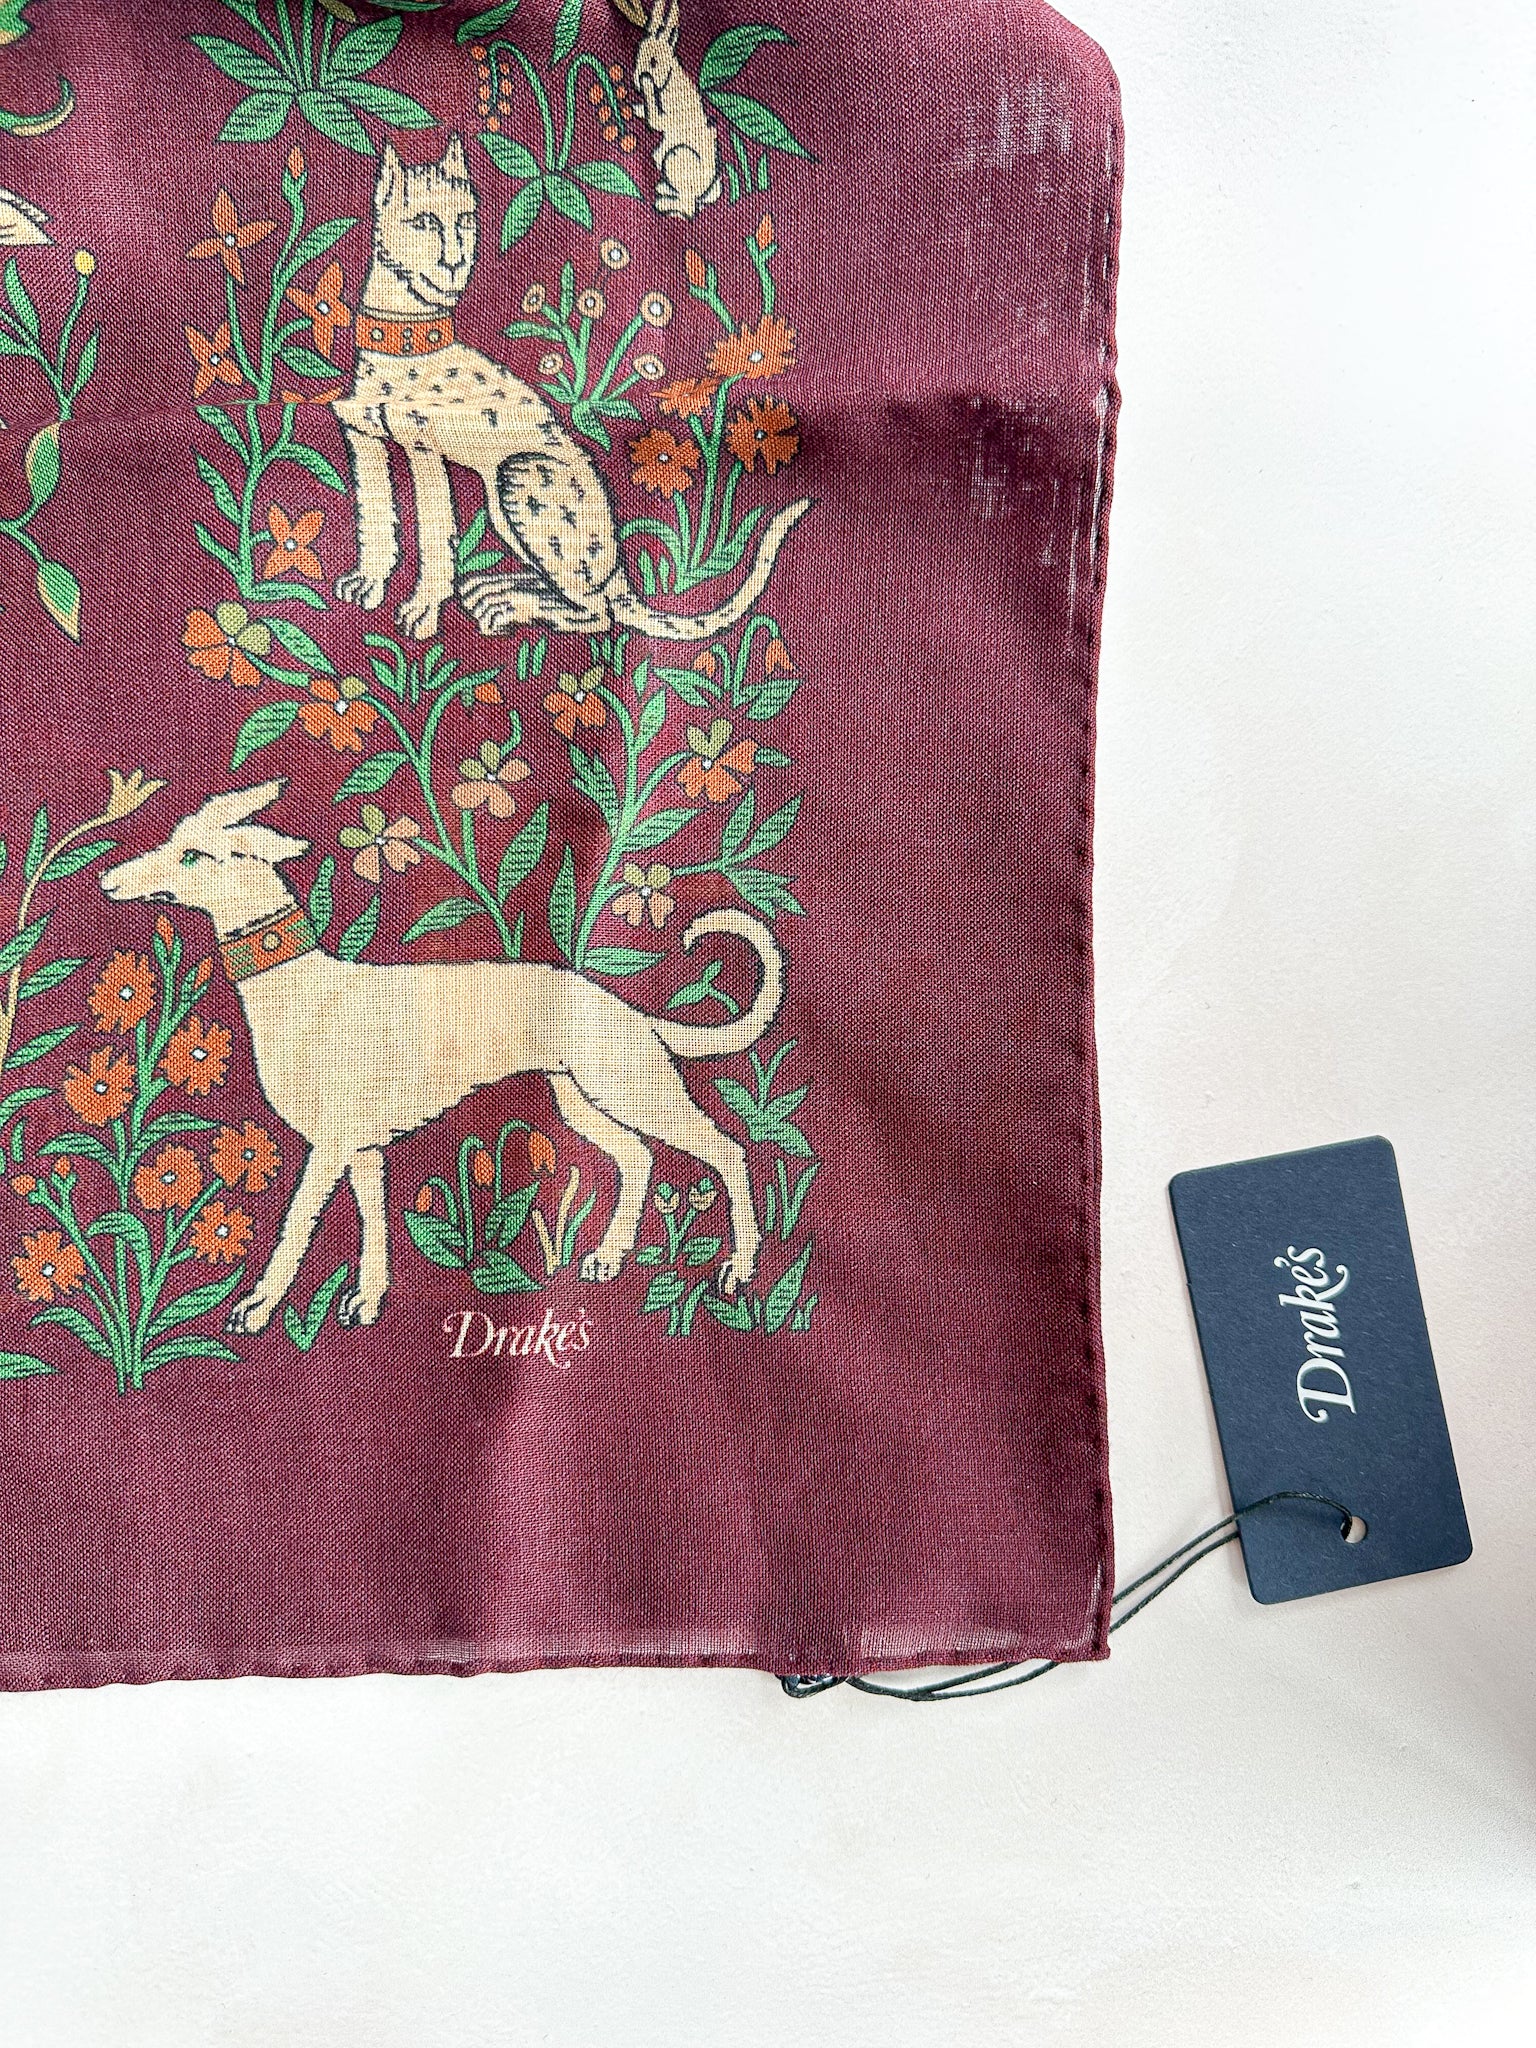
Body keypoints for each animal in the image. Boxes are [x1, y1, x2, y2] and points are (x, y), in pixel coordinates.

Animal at [100, 784, 784, 1334]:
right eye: (171, 842)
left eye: (192, 855)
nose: (108, 881)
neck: (299, 989)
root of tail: (633, 1013)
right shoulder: (363, 1150)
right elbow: (375, 1226)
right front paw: (368, 1301)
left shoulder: (330, 1146)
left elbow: (294, 1229)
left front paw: (258, 1307)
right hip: (580, 1096)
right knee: (637, 1157)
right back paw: (610, 1255)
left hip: (635, 1087)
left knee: (727, 1148)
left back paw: (741, 1265)